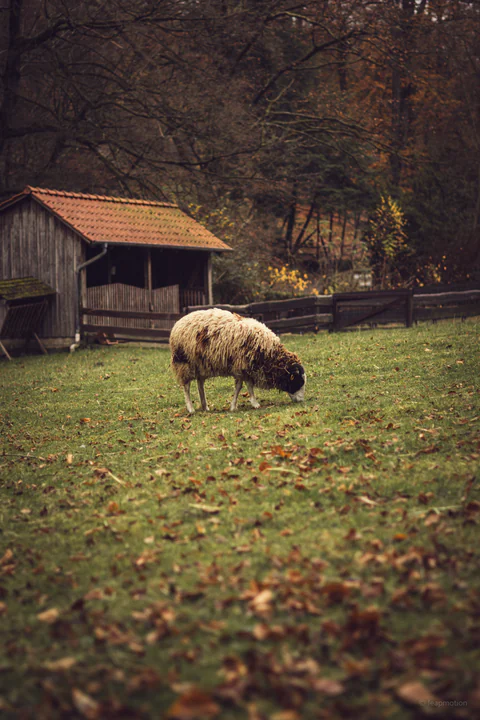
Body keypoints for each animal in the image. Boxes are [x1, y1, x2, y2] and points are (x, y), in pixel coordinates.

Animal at [170, 308, 306, 413]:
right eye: (298, 381)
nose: (301, 401)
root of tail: (178, 322)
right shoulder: (241, 366)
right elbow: (241, 387)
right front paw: (240, 405)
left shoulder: (247, 368)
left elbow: (247, 385)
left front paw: (249, 403)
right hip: (184, 363)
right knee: (186, 387)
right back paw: (191, 408)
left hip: (201, 364)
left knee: (200, 384)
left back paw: (205, 406)